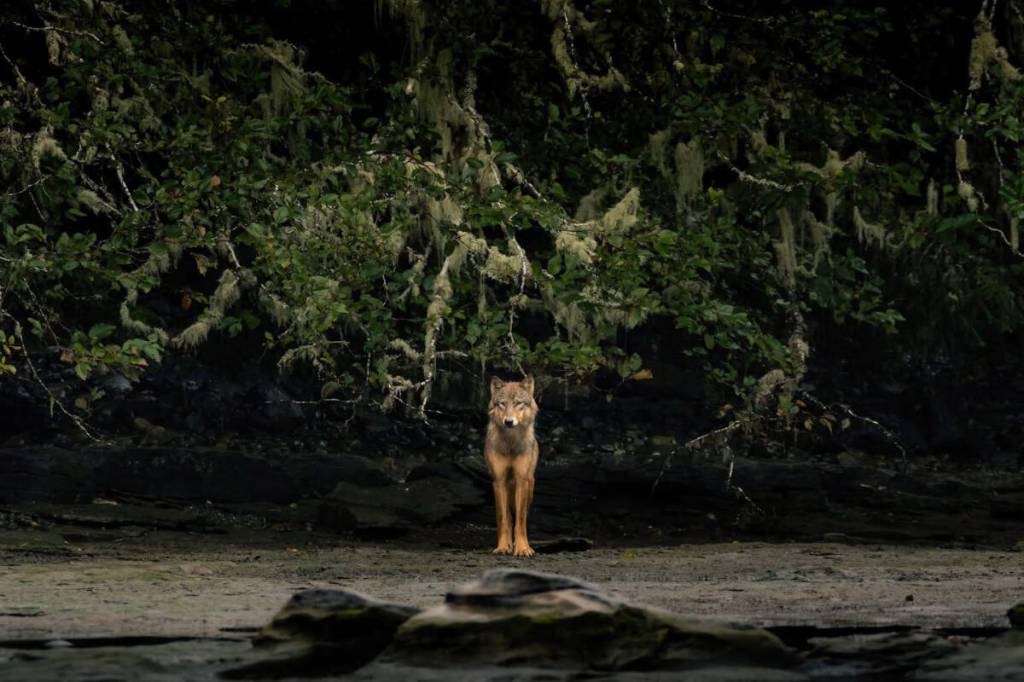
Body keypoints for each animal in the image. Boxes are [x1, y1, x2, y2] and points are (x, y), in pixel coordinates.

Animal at [484, 376, 539, 557]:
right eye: (502, 404)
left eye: (518, 403)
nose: (508, 421)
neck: (510, 443)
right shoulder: (498, 480)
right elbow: (503, 518)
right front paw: (502, 547)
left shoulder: (522, 480)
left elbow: (520, 520)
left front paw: (522, 548)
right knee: (508, 516)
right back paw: (508, 545)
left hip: (529, 487)